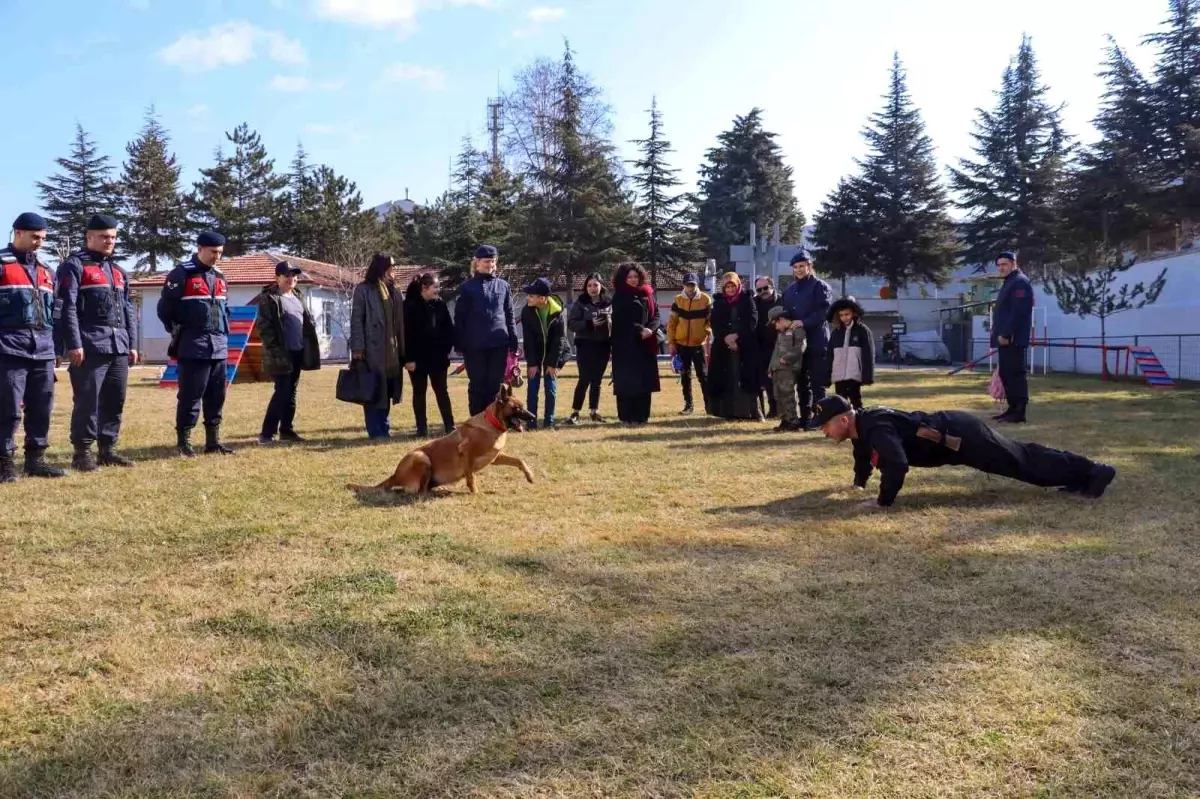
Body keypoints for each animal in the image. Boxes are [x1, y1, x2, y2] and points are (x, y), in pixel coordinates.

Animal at [345, 383, 537, 494]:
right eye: (517, 408)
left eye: (522, 406)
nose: (533, 416)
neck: (492, 424)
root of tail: (395, 475)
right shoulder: (467, 455)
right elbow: (470, 477)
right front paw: (475, 492)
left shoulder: (495, 457)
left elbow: (519, 460)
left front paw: (529, 476)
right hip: (422, 458)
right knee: (420, 493)